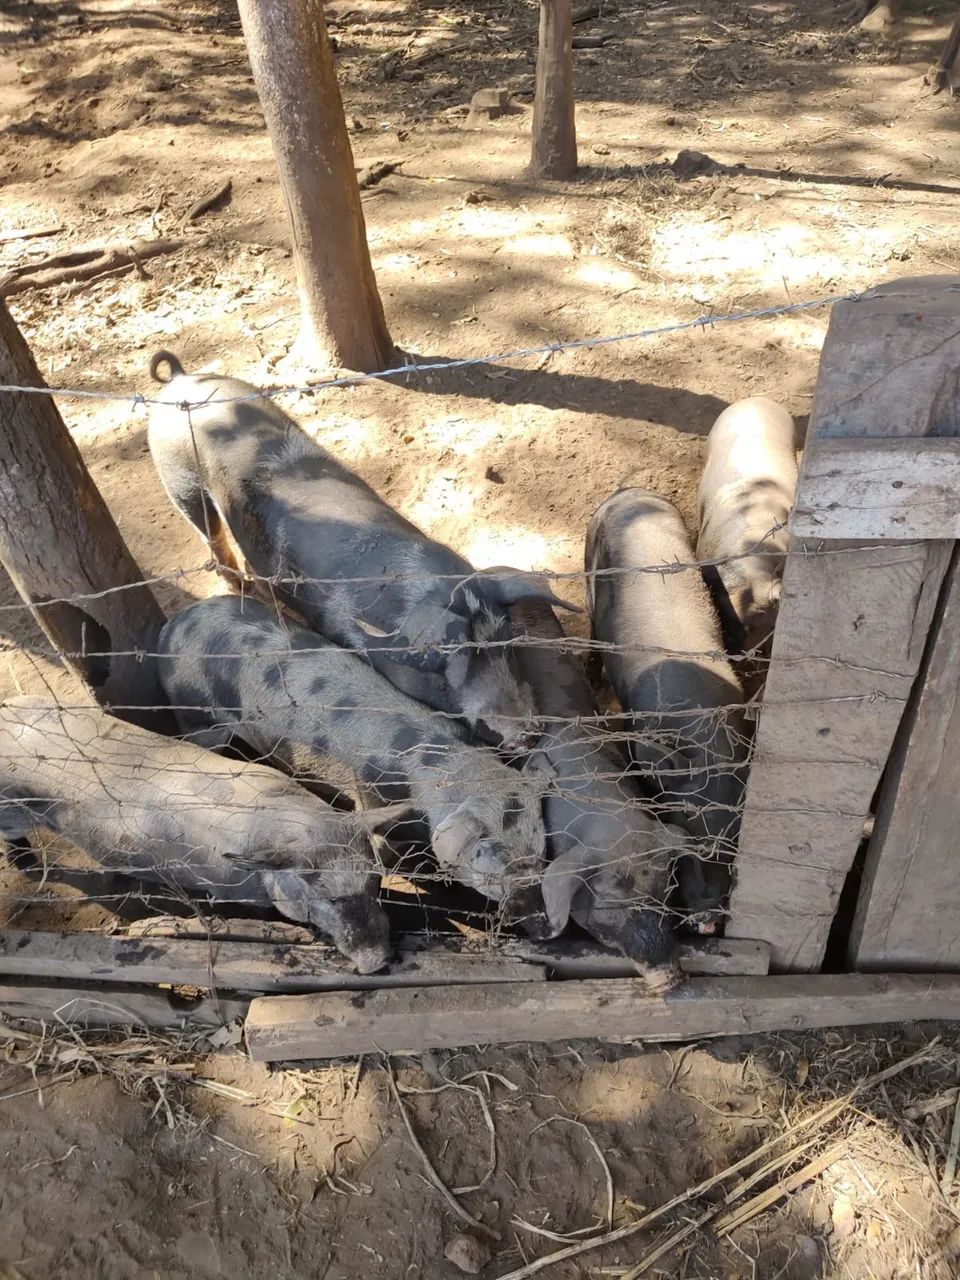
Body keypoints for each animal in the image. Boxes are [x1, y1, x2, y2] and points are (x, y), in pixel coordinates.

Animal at [0, 697, 400, 973]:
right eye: (328, 897)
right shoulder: (225, 887)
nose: (379, 962)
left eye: (375, 882)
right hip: (12, 806)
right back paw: (25, 863)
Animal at [146, 351, 579, 751]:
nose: (527, 733)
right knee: (210, 534)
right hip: (180, 482)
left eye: (507, 644)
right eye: (443, 666)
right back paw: (240, 586)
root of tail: (180, 379)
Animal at [156, 595, 550, 925]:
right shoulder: (368, 794)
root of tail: (174, 623)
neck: (435, 766)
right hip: (195, 713)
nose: (542, 923)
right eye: (489, 856)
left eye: (539, 854)